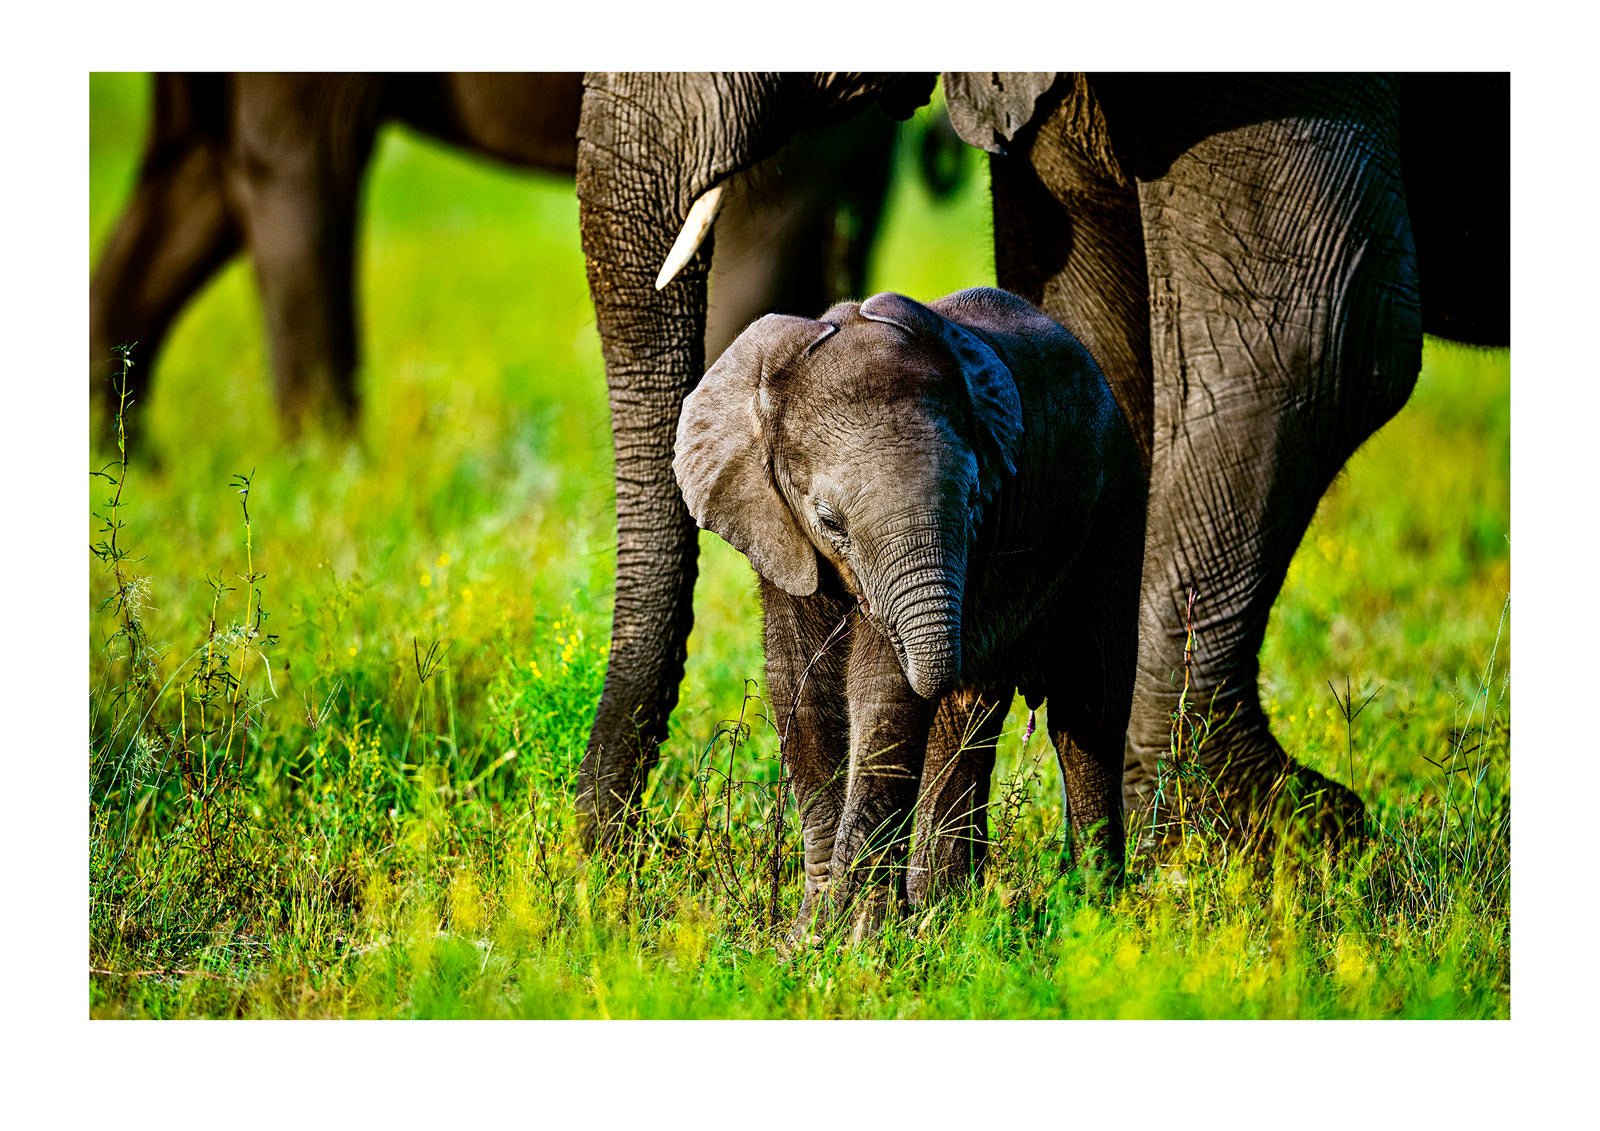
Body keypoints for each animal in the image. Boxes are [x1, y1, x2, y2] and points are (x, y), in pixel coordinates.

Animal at [668, 287, 1145, 940]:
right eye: (829, 522)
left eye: (973, 500)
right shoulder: (776, 525)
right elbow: (803, 688)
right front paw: (815, 935)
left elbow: (881, 691)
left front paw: (851, 940)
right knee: (968, 721)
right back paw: (942, 911)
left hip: (1114, 504)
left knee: (1084, 708)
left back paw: (1093, 915)